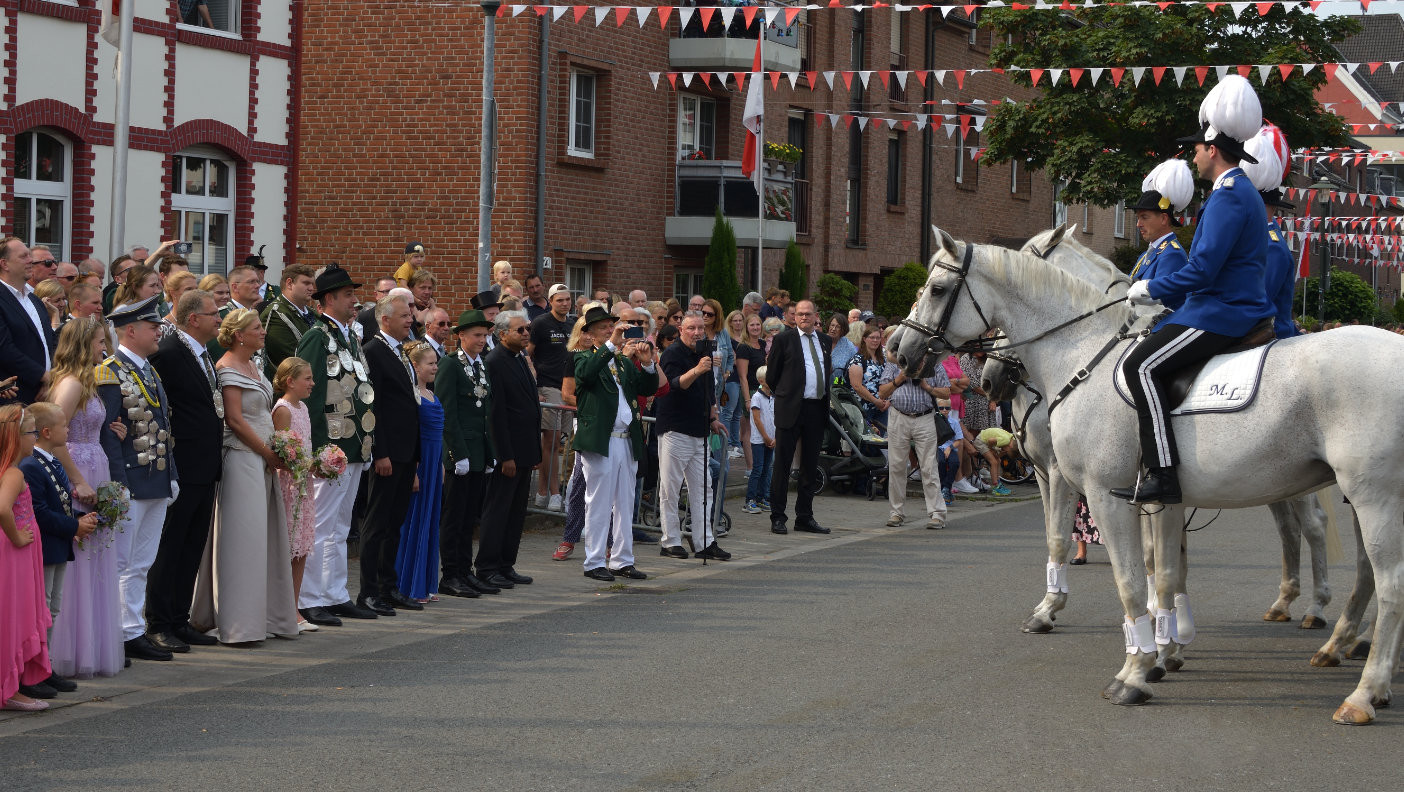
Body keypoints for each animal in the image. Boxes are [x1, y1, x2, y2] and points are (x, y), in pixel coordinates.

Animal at [892, 227, 1398, 724]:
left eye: (937, 289)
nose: (900, 351)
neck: (1082, 354)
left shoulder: (1096, 492)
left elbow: (1128, 579)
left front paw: (1134, 669)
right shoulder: (1161, 497)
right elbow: (1167, 571)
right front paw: (1167, 648)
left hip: (1372, 497)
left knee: (1377, 575)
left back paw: (1360, 688)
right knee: (1354, 565)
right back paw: (1351, 654)